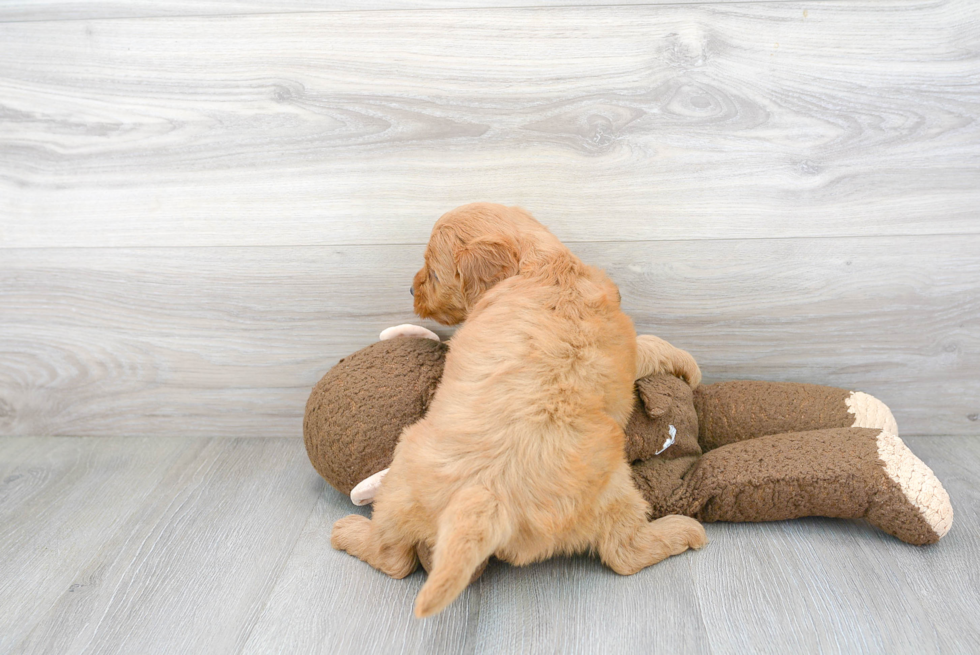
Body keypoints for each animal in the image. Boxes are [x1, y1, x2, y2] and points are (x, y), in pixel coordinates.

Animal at [330, 202, 704, 616]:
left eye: (433, 271)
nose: (411, 288)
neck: (542, 264)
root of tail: (489, 499)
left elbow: (652, 344)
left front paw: (689, 367)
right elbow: (650, 343)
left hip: (407, 476)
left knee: (393, 556)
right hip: (612, 491)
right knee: (623, 552)